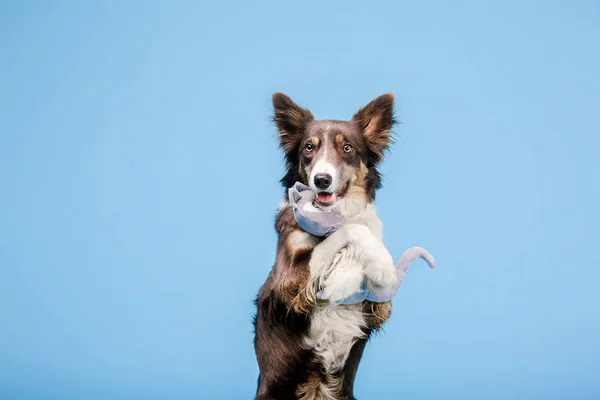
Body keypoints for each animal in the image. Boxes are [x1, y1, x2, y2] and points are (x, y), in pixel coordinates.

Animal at [253, 92, 398, 398]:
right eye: (309, 147)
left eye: (347, 148)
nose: (322, 180)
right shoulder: (288, 279)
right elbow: (350, 229)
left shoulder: (380, 308)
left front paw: (382, 263)